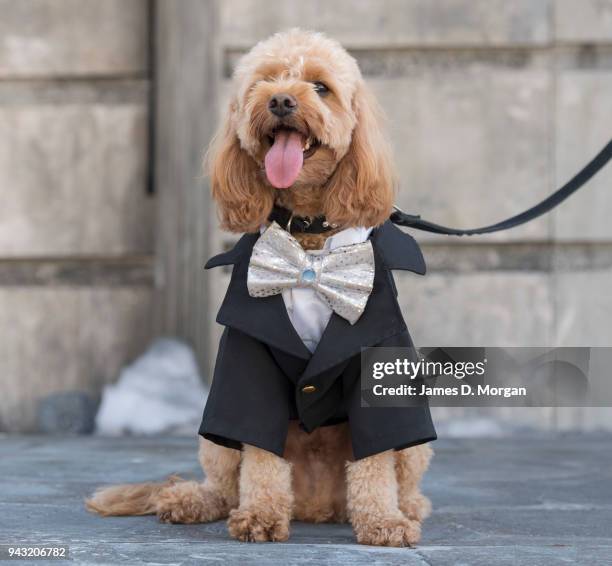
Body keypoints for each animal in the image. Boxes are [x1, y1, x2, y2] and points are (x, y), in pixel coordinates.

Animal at [87, 27, 436, 552]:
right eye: (264, 81)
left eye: (321, 87)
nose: (281, 100)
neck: (308, 241)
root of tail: (316, 505)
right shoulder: (246, 358)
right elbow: (260, 454)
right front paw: (261, 516)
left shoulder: (376, 352)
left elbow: (374, 461)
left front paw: (383, 521)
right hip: (213, 443)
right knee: (223, 485)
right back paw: (191, 501)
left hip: (412, 449)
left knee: (401, 474)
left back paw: (407, 506)